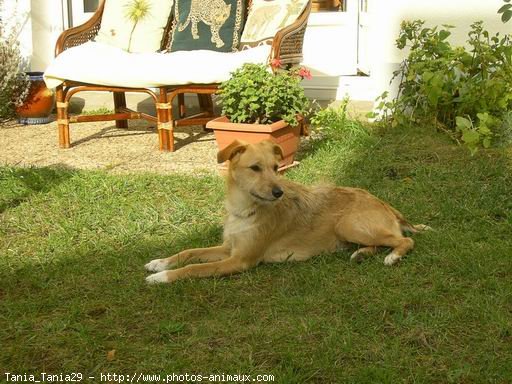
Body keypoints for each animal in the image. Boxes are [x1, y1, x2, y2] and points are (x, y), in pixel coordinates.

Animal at [145, 140, 428, 284]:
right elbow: (189, 252)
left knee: (405, 240)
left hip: (348, 224)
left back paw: (393, 256)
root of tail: (385, 204)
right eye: (255, 168)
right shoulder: (228, 248)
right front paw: (160, 262)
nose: (279, 192)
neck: (244, 210)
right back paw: (361, 254)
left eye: (275, 167)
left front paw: (162, 276)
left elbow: (193, 268)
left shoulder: (240, 260)